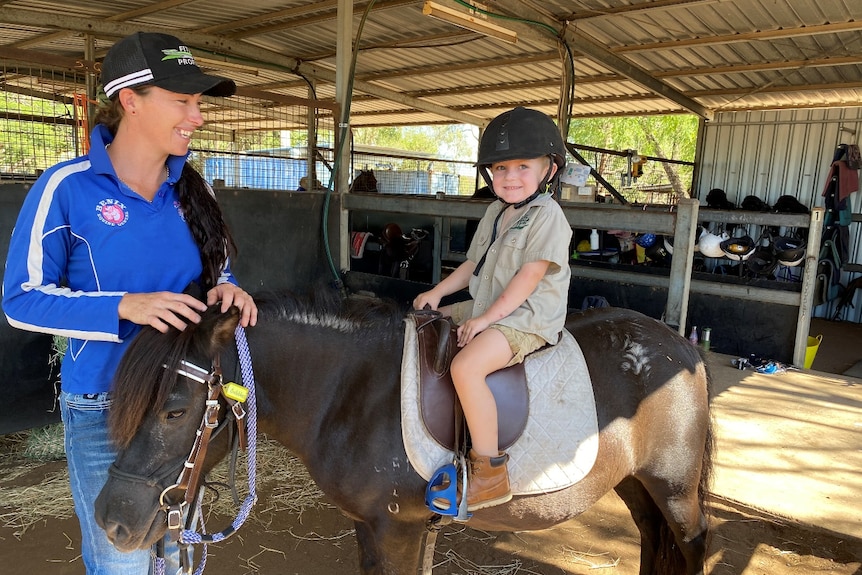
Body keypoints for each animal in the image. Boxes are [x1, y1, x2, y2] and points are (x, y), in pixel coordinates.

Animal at [94, 294, 716, 572]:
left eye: (175, 411)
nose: (110, 521)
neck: (352, 390)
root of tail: (681, 347)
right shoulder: (372, 527)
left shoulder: (398, 529)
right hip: (636, 484)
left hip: (675, 490)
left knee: (694, 546)